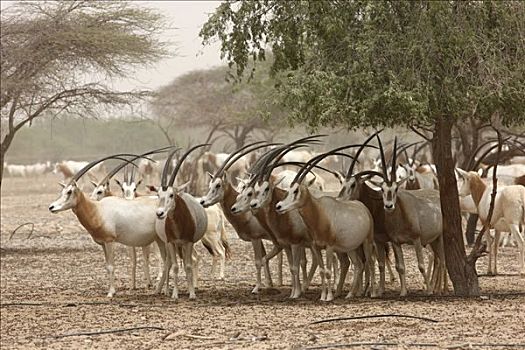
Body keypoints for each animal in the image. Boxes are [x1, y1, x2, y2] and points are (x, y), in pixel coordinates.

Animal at [48, 154, 166, 296]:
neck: (97, 210)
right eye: (62, 191)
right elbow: (107, 266)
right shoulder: (103, 243)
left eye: (69, 192)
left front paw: (111, 292)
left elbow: (111, 266)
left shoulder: (110, 241)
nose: (51, 207)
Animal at [274, 144, 376, 300]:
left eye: (296, 190)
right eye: (288, 190)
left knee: (370, 262)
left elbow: (327, 271)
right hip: (351, 247)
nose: (279, 206)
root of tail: (362, 206)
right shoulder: (316, 247)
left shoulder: (329, 247)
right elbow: (322, 270)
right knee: (358, 265)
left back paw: (373, 293)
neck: (319, 213)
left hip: (367, 242)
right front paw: (322, 296)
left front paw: (329, 297)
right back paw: (350, 294)